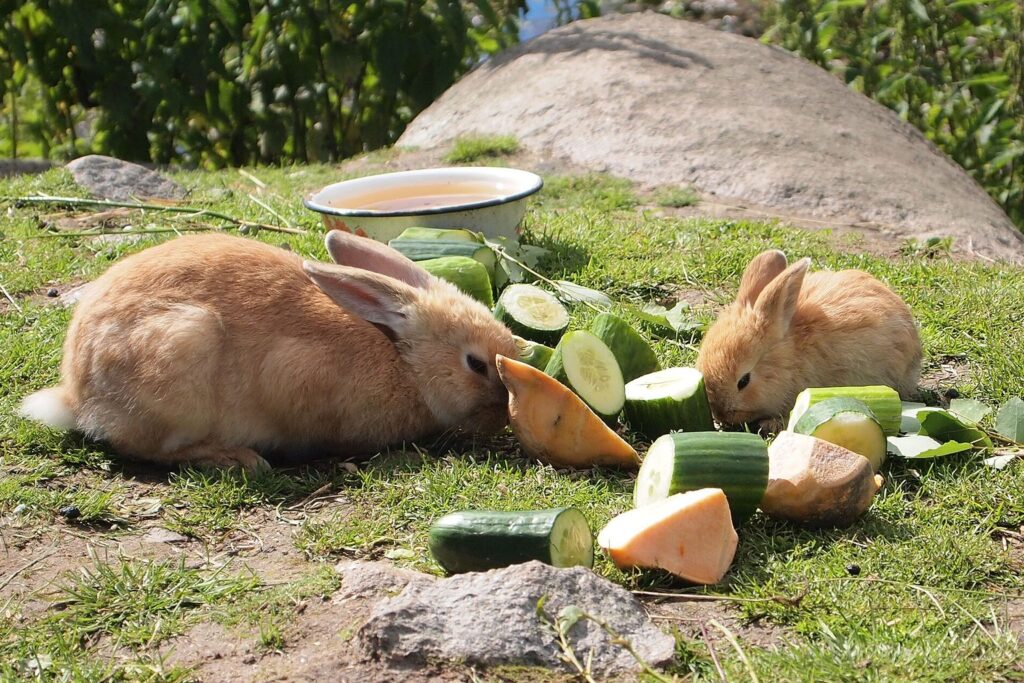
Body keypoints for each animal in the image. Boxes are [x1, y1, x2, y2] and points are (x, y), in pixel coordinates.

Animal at [19, 230, 519, 471]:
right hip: (182, 352)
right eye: (475, 364)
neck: (404, 360)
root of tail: (76, 396)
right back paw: (234, 459)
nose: (503, 414)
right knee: (146, 448)